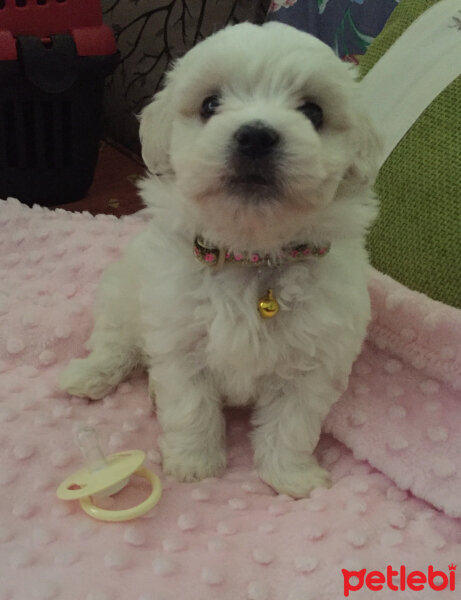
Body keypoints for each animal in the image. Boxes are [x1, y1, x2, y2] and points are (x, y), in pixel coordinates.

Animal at [59, 21, 380, 496]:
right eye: (210, 104)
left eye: (314, 111)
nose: (256, 135)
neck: (251, 255)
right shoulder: (179, 340)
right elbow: (190, 406)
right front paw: (195, 465)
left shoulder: (316, 358)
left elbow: (292, 422)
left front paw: (291, 477)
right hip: (122, 292)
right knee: (116, 342)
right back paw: (89, 375)